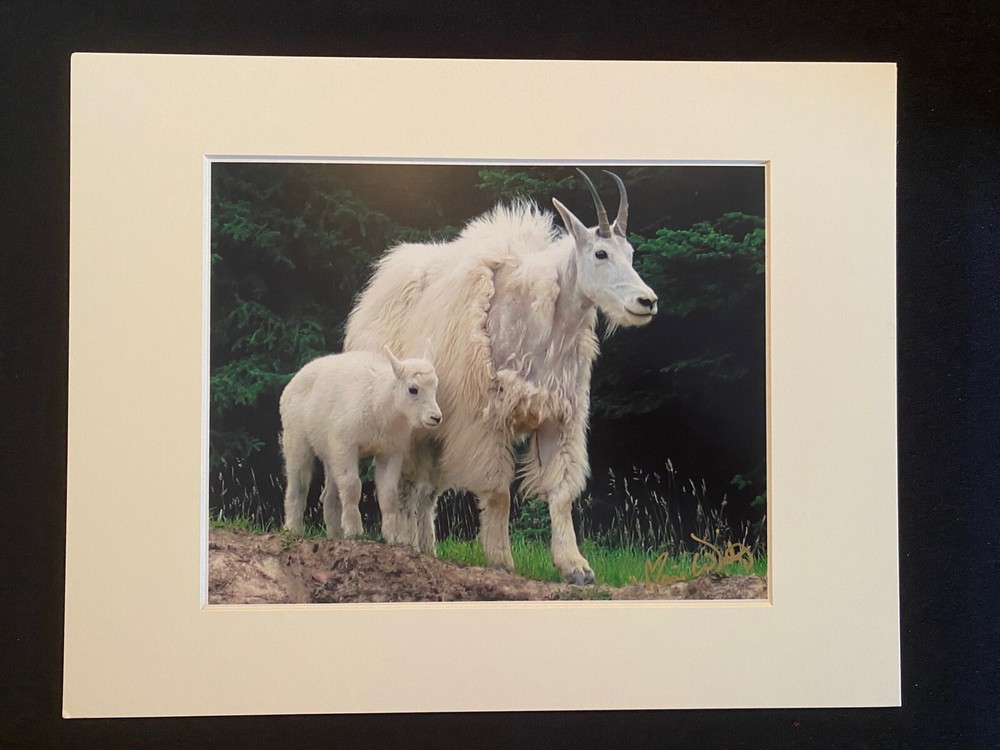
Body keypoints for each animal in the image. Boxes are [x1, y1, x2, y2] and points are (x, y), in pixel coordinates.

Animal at [279, 345, 442, 544]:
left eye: (435, 387)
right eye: (413, 389)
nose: (435, 417)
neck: (381, 404)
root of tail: (294, 380)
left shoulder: (390, 451)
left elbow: (388, 494)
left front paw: (391, 537)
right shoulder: (346, 445)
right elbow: (352, 486)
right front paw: (354, 531)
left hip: (330, 451)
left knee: (330, 495)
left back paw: (335, 535)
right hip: (296, 438)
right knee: (298, 485)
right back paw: (293, 529)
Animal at [344, 170, 658, 584]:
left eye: (632, 253)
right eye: (600, 253)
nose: (647, 302)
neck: (544, 327)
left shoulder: (558, 417)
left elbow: (561, 494)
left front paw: (576, 567)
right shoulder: (485, 419)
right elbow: (497, 492)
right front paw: (501, 560)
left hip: (433, 431)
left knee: (425, 490)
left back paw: (426, 549)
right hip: (406, 427)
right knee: (405, 485)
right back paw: (406, 545)